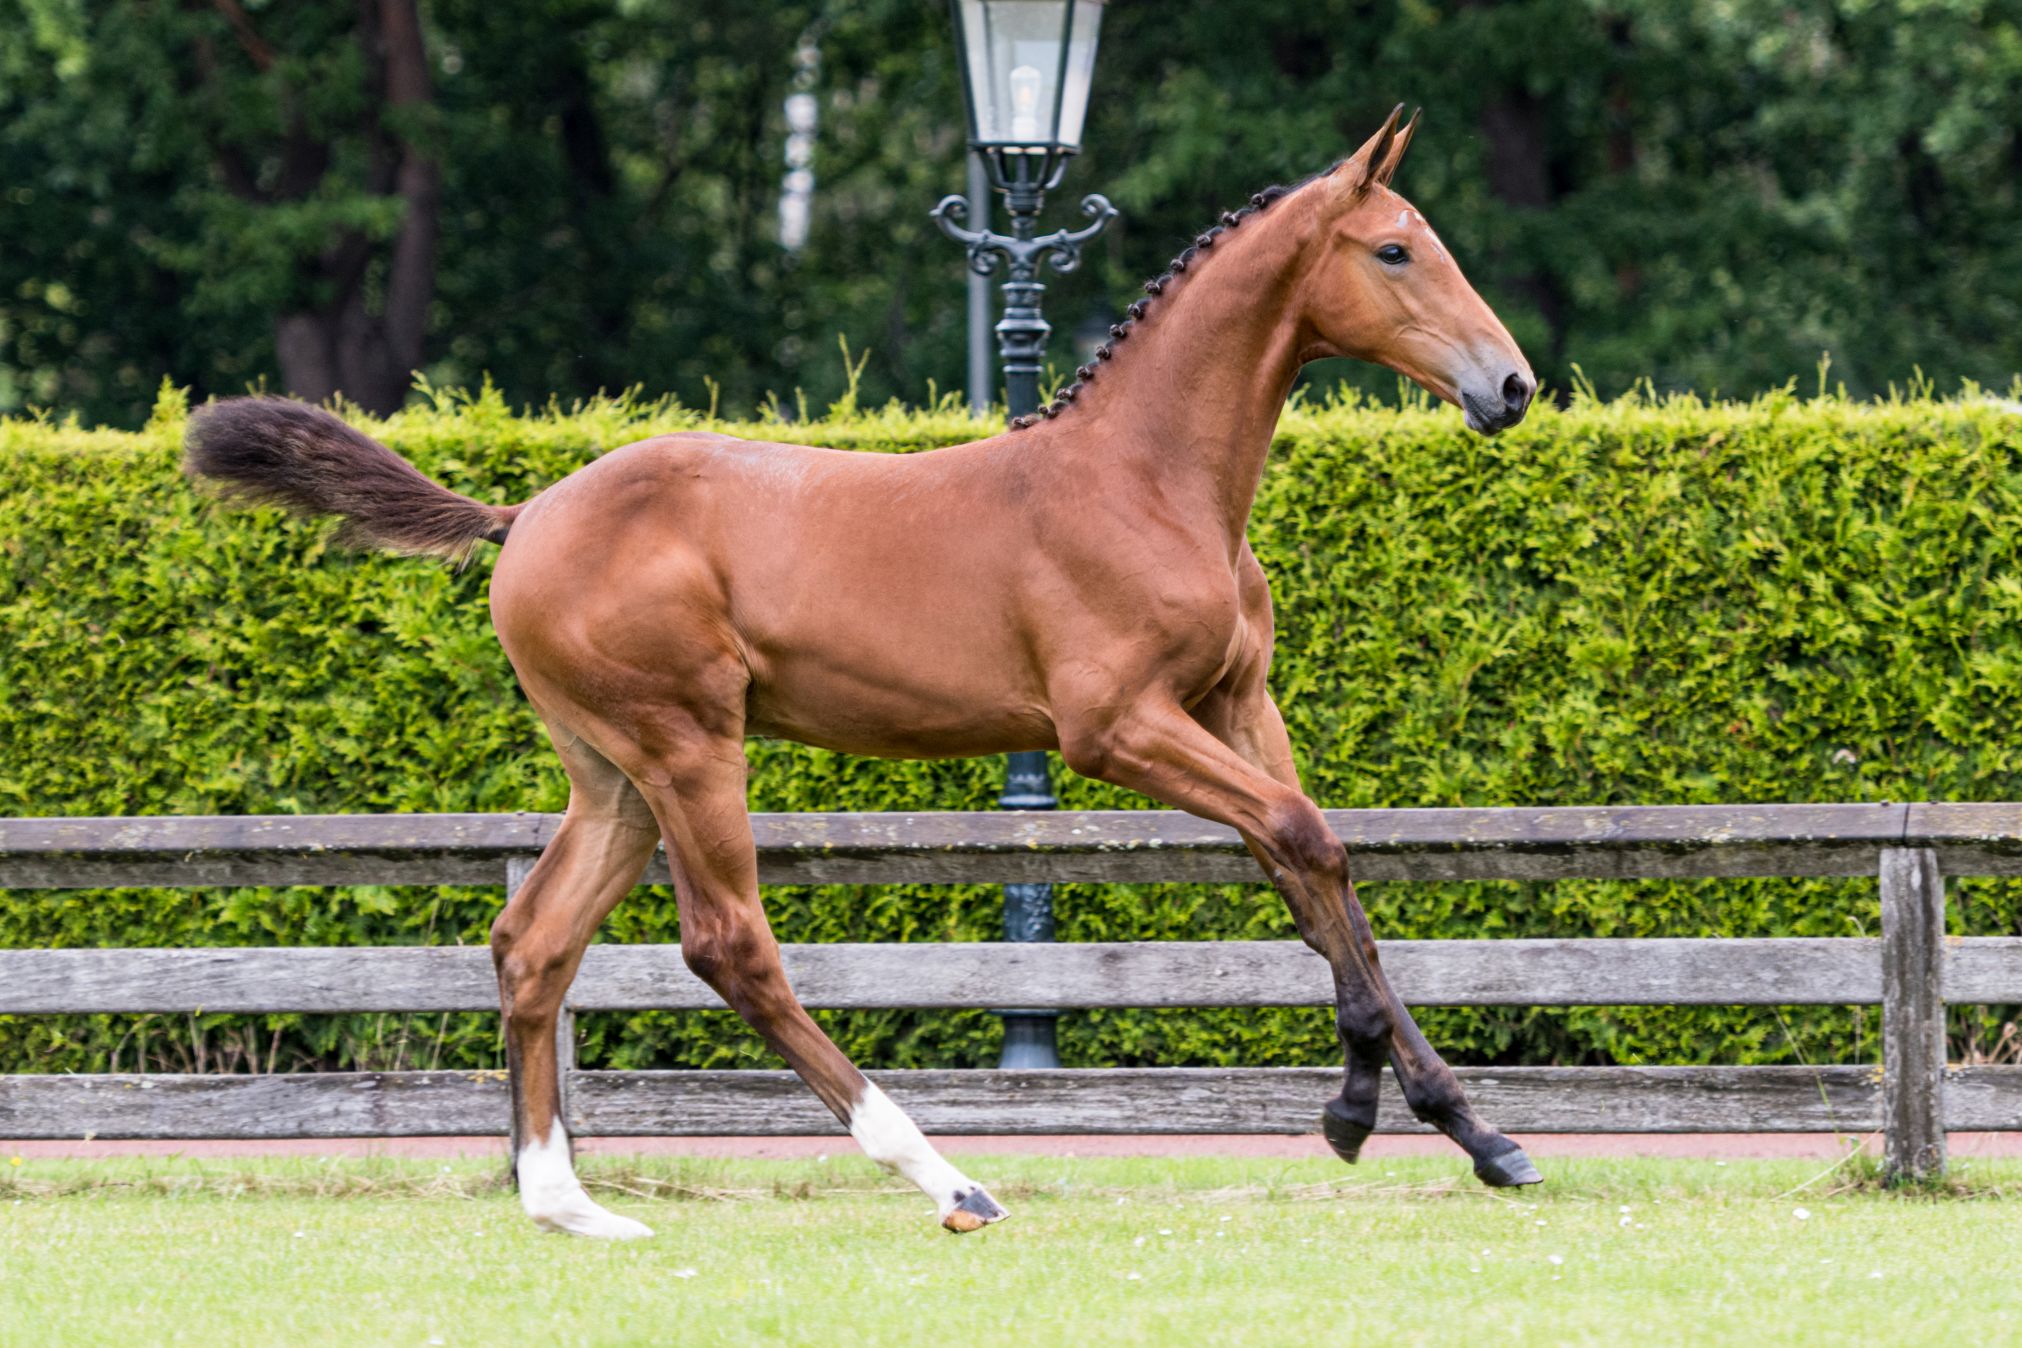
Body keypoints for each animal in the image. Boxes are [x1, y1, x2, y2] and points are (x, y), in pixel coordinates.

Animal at [184, 106, 1538, 1240]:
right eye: (1395, 250)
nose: (1512, 383)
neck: (1148, 480)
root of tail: (523, 517)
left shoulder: (1234, 705)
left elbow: (1318, 874)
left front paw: (1464, 1129)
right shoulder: (1116, 725)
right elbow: (1305, 842)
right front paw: (1367, 1107)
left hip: (614, 777)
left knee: (533, 941)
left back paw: (566, 1203)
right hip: (690, 747)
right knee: (729, 945)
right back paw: (945, 1178)